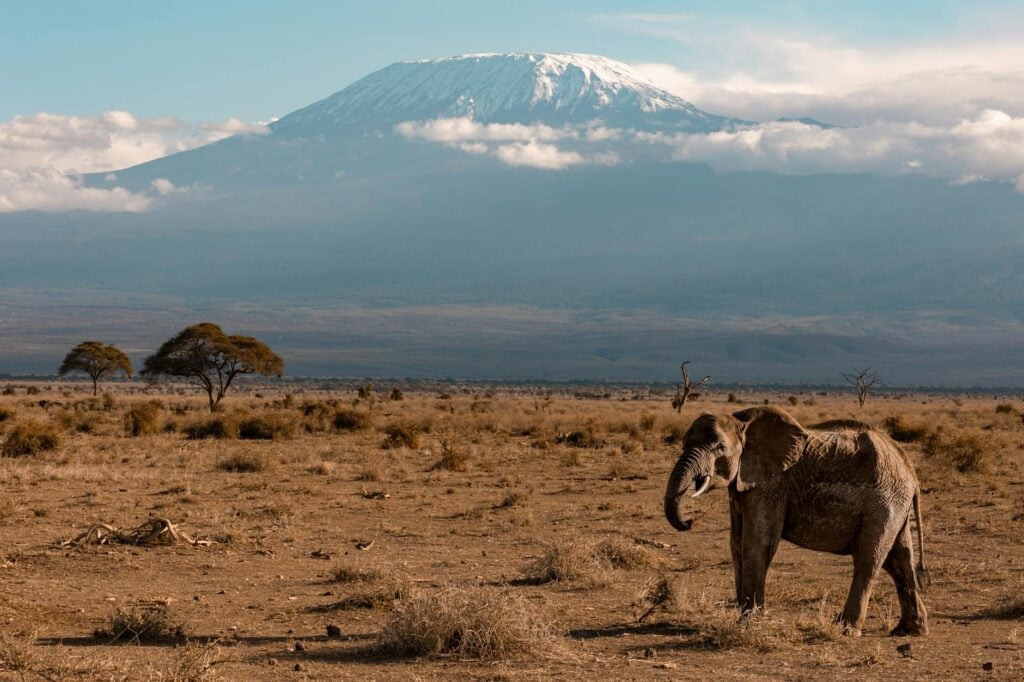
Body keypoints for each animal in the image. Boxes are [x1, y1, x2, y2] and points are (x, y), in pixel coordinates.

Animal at [663, 405, 928, 636]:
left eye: (720, 448)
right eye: (684, 443)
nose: (689, 521)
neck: (743, 422)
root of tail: (911, 472)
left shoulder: (771, 484)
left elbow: (757, 542)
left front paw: (749, 623)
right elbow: (736, 543)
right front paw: (745, 617)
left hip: (883, 502)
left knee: (868, 557)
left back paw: (846, 630)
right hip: (895, 503)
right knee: (899, 559)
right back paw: (909, 630)